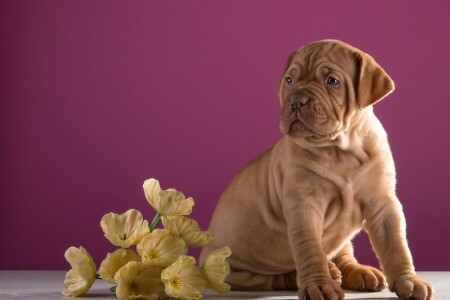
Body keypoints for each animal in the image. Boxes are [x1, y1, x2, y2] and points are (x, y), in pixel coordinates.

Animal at [200, 40, 432, 300]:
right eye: (289, 80)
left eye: (332, 81)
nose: (296, 100)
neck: (341, 148)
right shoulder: (304, 205)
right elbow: (309, 248)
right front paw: (319, 285)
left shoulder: (382, 203)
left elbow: (397, 246)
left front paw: (409, 281)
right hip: (230, 269)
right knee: (270, 277)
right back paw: (321, 274)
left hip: (342, 242)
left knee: (343, 254)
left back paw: (359, 273)